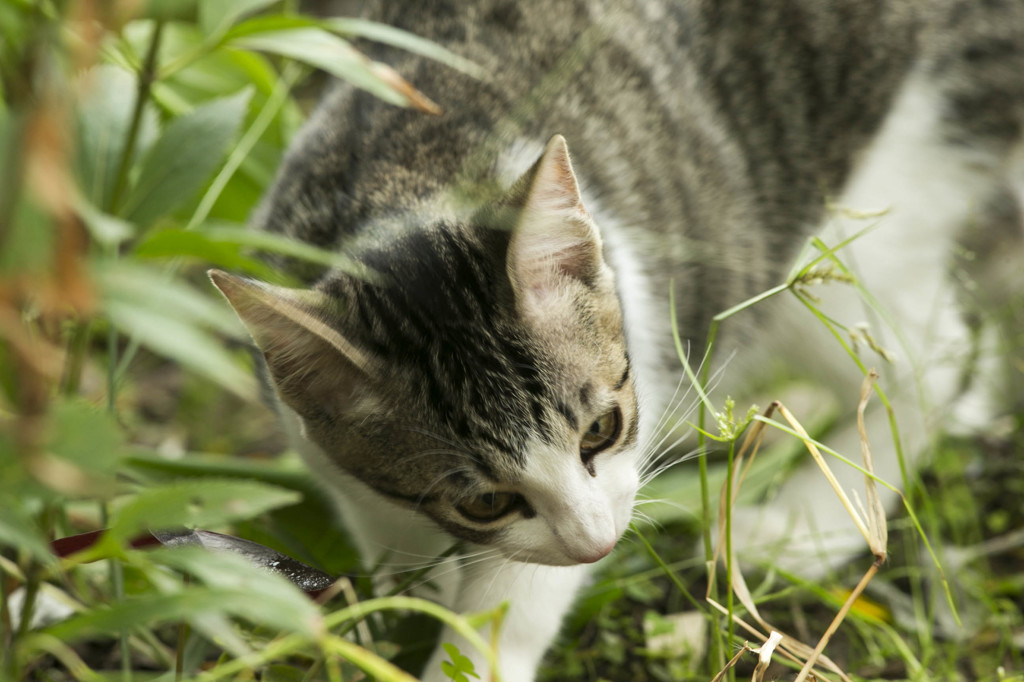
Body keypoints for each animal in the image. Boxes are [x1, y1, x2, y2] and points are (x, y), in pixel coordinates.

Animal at [209, 2, 1024, 675]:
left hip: (846, 224)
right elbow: (386, 530)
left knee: (942, 365)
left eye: (602, 429)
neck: (402, 186)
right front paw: (409, 588)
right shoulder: (334, 458)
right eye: (484, 502)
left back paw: (804, 523)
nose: (598, 541)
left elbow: (514, 601)